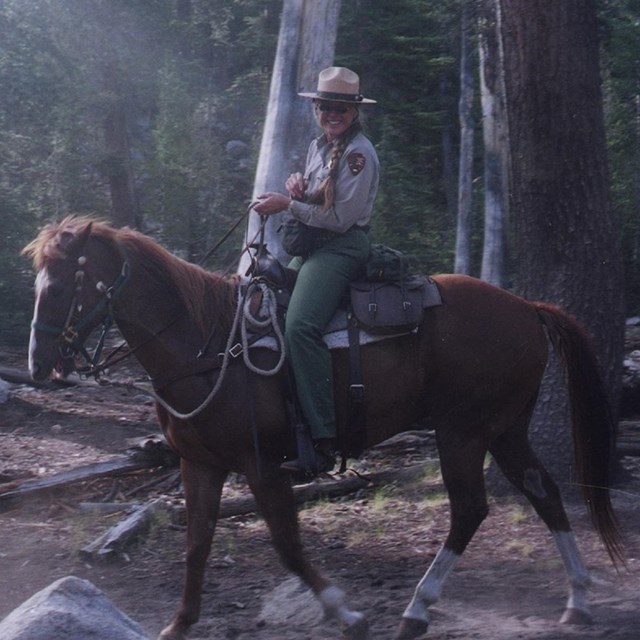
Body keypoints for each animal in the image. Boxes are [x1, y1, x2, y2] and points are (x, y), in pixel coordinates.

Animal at [23, 216, 620, 640]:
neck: (206, 344)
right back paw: (578, 599)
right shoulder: (201, 464)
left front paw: (347, 615)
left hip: (463, 433)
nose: (37, 363)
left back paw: (417, 609)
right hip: (504, 431)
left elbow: (287, 545)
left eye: (63, 286)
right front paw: (179, 624)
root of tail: (526, 307)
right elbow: (196, 544)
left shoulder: (262, 464)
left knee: (471, 509)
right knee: (545, 492)